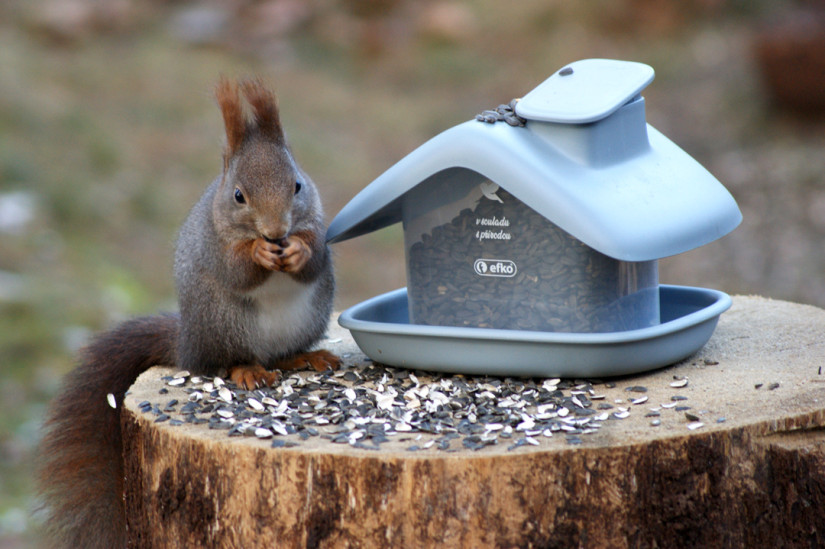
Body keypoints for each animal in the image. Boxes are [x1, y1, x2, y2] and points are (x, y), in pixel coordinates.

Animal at [36, 78, 342, 548]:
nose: (276, 233)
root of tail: (187, 344)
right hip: (224, 325)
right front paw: (258, 253)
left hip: (309, 316)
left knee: (282, 355)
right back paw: (247, 370)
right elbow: (237, 269)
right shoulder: (217, 245)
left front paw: (297, 251)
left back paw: (306, 356)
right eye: (238, 195)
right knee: (225, 362)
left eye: (297, 185)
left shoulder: (317, 226)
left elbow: (315, 255)